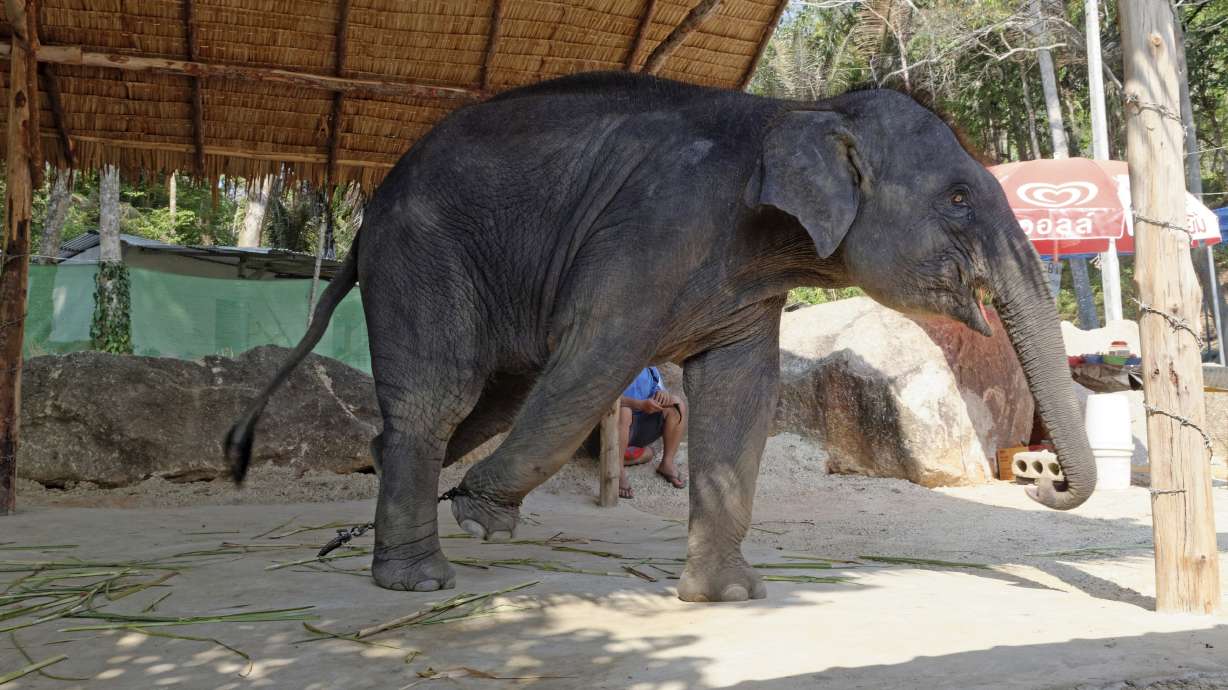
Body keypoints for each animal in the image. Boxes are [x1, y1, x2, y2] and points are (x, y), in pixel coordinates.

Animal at [226, 71, 1095, 602]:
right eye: (958, 198)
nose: (1041, 478)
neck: (796, 110)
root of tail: (368, 215)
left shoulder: (747, 284)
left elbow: (740, 398)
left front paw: (728, 597)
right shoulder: (650, 233)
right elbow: (598, 359)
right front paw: (480, 513)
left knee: (482, 403)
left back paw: (389, 522)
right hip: (423, 254)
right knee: (442, 398)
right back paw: (420, 581)